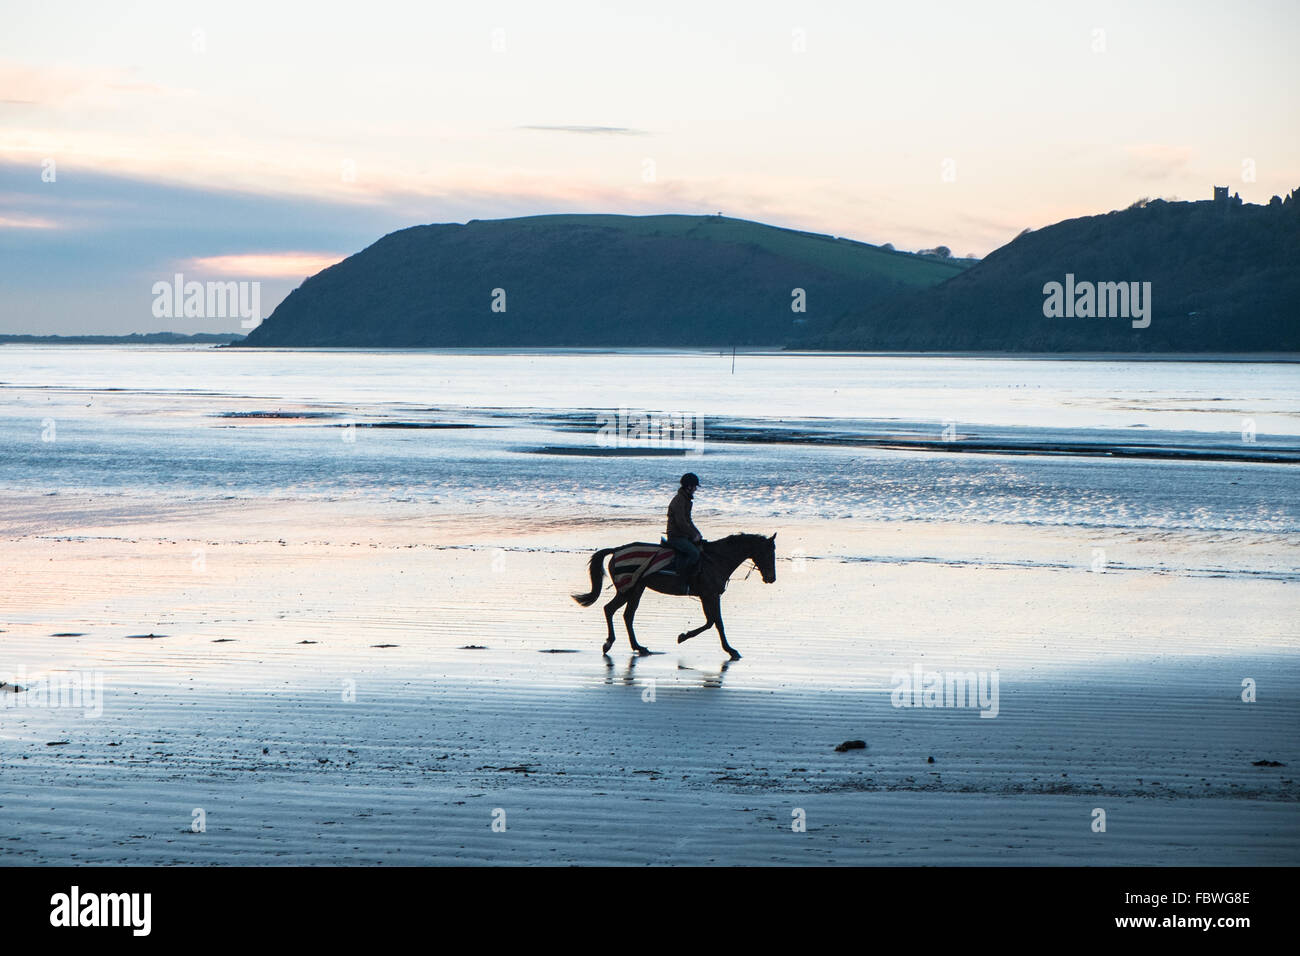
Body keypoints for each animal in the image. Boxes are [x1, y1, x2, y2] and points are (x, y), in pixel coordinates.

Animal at [566, 530, 769, 658]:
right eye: (768, 552)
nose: (771, 578)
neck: (716, 559)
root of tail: (617, 550)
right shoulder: (710, 594)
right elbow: (717, 623)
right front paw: (730, 650)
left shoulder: (707, 595)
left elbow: (711, 622)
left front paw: (684, 636)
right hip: (629, 588)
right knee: (612, 610)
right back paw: (612, 643)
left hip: (636, 589)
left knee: (624, 614)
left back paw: (637, 646)